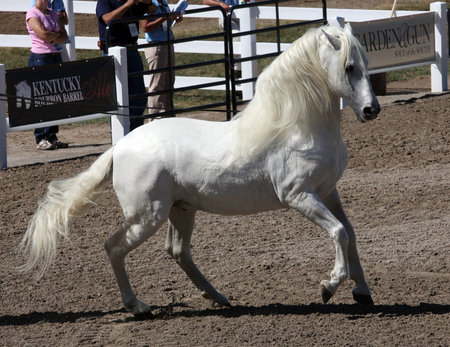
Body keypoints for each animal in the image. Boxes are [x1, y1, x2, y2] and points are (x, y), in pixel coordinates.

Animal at [19, 24, 378, 316]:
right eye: (349, 67)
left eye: (366, 63)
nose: (371, 110)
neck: (297, 127)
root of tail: (119, 148)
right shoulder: (299, 196)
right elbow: (339, 232)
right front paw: (329, 287)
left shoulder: (327, 192)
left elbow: (350, 233)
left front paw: (362, 292)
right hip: (147, 215)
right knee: (114, 247)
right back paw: (138, 307)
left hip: (181, 209)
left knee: (178, 251)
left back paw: (218, 297)